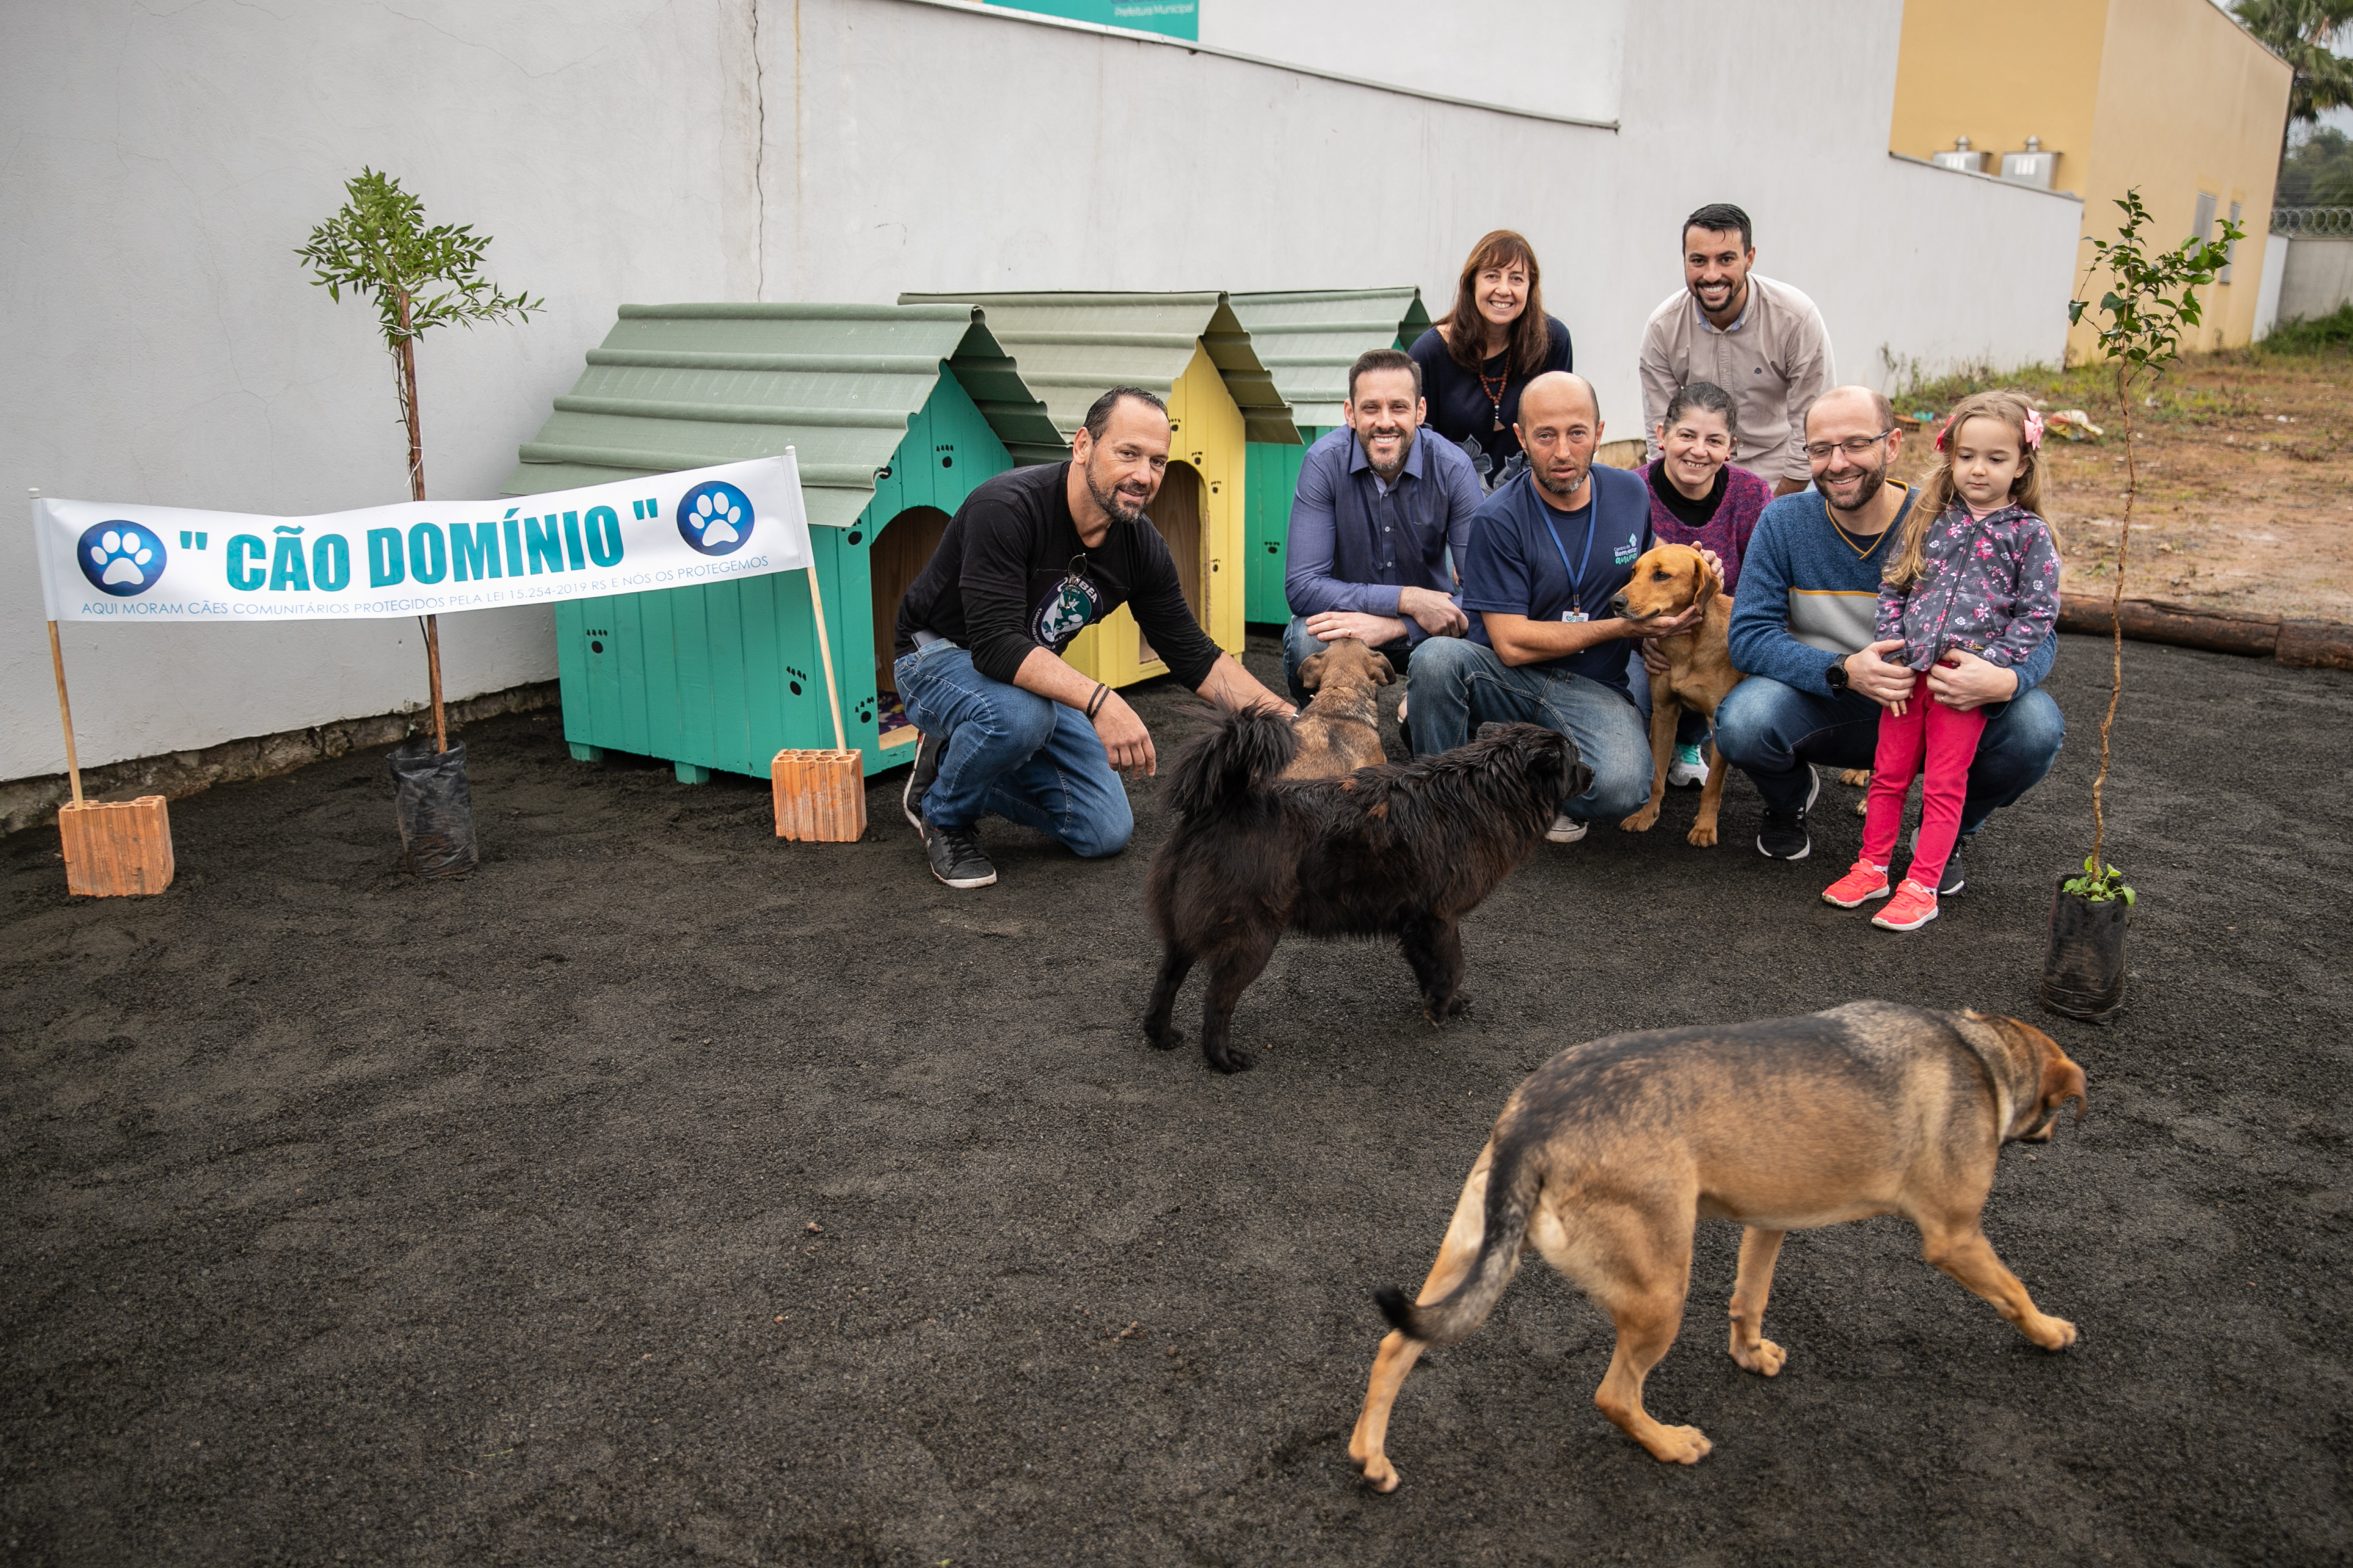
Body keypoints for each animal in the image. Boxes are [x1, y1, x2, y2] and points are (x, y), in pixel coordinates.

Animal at [1143, 709, 1590, 1067]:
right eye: (1575, 758)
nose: (1593, 774)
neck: (1482, 792)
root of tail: (1223, 803)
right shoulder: (1439, 916)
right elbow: (1454, 965)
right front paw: (1439, 1007)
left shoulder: (1415, 924)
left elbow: (1432, 968)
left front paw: (1442, 1000)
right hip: (1252, 938)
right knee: (1216, 999)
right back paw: (1221, 1058)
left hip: (1186, 931)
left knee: (1166, 980)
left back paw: (1160, 1035)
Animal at [1355, 1006, 2089, 1495]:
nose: (2052, 1135)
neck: (1983, 1054)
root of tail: (1534, 1117)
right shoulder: (1955, 1237)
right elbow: (2015, 1291)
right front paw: (2049, 1331)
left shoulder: (1767, 1222)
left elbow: (1748, 1297)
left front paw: (1749, 1352)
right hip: (1659, 1295)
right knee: (1613, 1395)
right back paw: (1669, 1443)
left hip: (1465, 1260)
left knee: (1396, 1345)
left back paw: (1370, 1455)